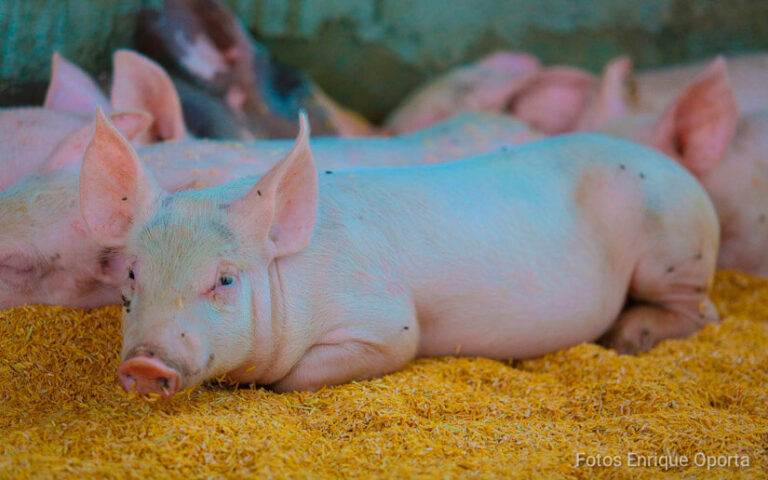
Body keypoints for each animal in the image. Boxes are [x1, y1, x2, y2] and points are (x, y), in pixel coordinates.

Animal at [79, 112, 719, 397]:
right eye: (131, 275)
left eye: (226, 280)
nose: (145, 364)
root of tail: (688, 180)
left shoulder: (385, 322)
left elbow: (304, 376)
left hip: (673, 247)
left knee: (704, 312)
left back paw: (629, 338)